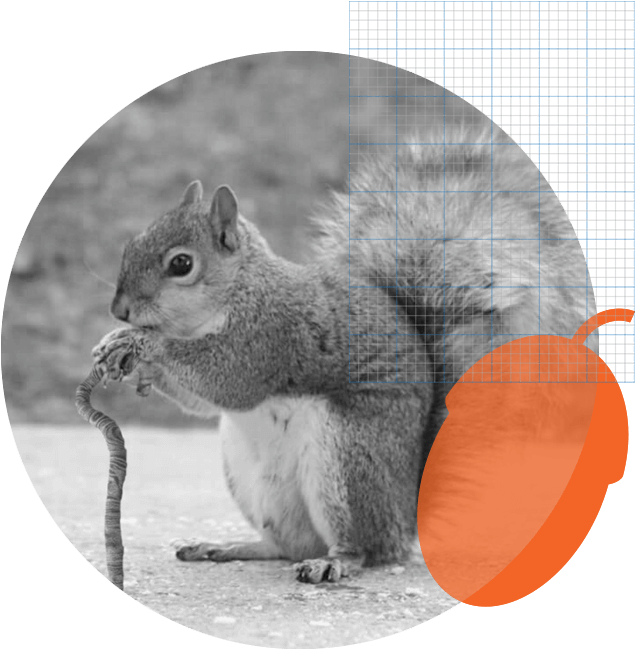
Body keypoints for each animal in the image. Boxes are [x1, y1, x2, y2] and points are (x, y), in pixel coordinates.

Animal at [93, 123, 596, 583]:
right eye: (132, 243)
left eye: (181, 264)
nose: (119, 310)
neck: (235, 292)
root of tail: (406, 516)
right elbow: (199, 401)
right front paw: (120, 350)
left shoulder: (269, 336)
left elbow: (228, 382)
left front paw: (143, 345)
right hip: (251, 476)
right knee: (286, 544)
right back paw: (227, 546)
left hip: (348, 459)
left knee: (362, 548)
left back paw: (334, 562)